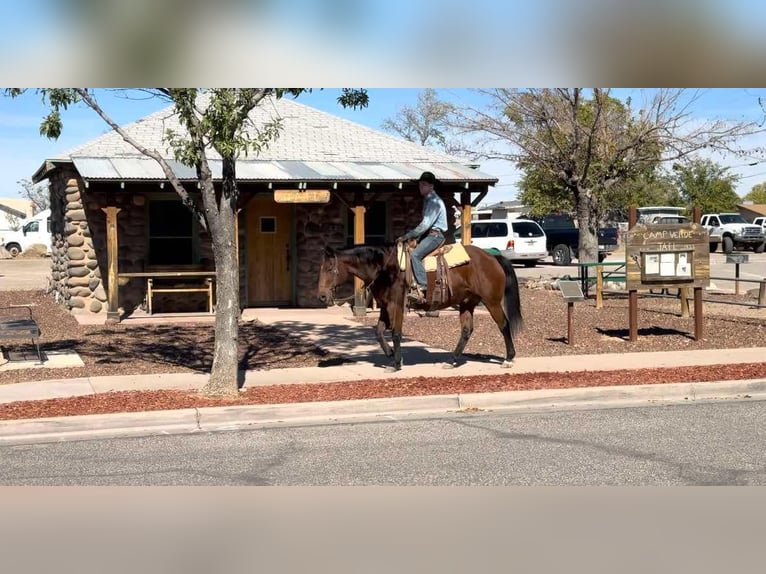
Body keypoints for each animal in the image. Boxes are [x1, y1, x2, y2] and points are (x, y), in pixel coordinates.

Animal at [317, 242, 523, 372]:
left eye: (330, 269)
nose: (322, 296)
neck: (386, 269)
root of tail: (493, 257)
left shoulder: (396, 306)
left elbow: (396, 333)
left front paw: (396, 363)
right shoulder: (384, 307)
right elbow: (379, 332)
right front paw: (391, 354)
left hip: (491, 302)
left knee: (503, 325)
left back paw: (508, 359)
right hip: (467, 303)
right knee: (466, 330)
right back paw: (452, 361)